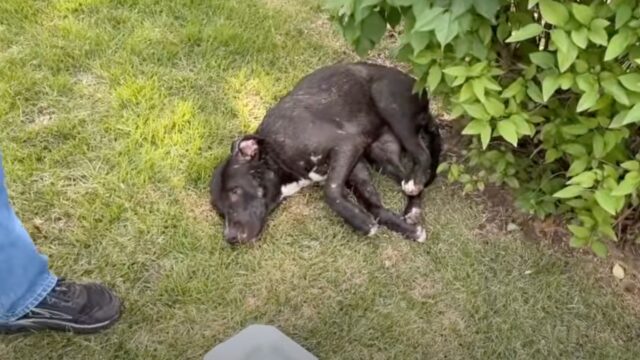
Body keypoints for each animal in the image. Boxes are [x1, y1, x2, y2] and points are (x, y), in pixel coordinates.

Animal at [210, 62, 440, 245]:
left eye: (235, 192)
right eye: (220, 210)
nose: (230, 238)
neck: (276, 154)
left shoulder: (346, 145)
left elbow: (331, 192)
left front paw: (361, 223)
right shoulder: (357, 167)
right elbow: (374, 207)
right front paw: (406, 230)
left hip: (391, 107)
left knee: (423, 155)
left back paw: (415, 184)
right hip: (381, 155)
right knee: (406, 175)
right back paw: (412, 211)